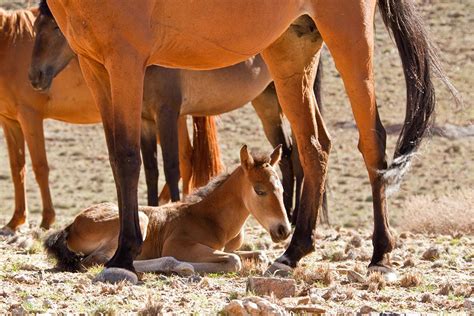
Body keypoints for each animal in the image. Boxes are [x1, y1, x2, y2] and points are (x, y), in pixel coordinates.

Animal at [45, 145, 288, 274]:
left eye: (283, 189)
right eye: (259, 190)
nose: (283, 230)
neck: (213, 218)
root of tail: (72, 225)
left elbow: (258, 255)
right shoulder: (179, 244)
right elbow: (234, 261)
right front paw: (187, 265)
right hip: (140, 218)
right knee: (99, 260)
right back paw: (176, 265)